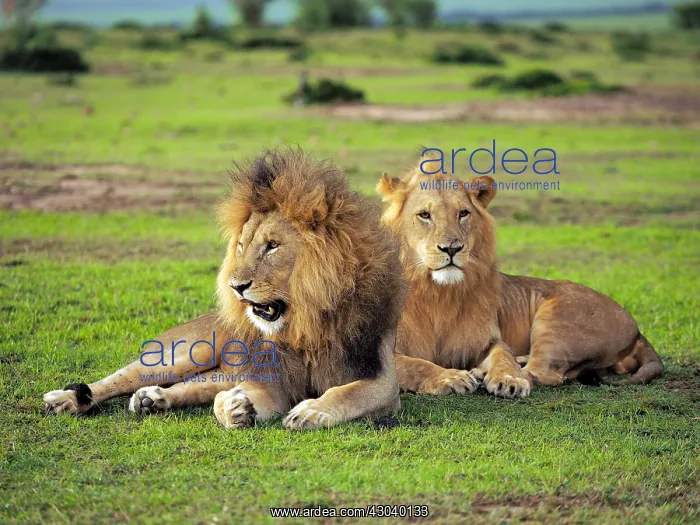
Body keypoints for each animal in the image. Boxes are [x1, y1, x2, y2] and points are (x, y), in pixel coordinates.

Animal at [43, 148, 405, 430]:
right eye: (242, 246)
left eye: (272, 246)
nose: (236, 286)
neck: (303, 322)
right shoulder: (272, 378)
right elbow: (225, 402)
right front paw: (236, 409)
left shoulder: (382, 380)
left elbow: (346, 392)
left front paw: (310, 411)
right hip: (190, 350)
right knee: (120, 378)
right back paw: (66, 400)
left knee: (191, 387)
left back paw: (152, 400)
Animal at [377, 163, 662, 395]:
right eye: (425, 215)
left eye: (463, 213)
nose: (452, 248)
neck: (437, 293)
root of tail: (637, 329)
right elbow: (412, 364)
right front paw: (449, 377)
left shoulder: (488, 340)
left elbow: (503, 354)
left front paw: (508, 379)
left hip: (558, 322)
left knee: (547, 374)